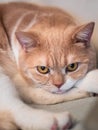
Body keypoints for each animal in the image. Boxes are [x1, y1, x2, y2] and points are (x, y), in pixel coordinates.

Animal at [0, 2, 96, 130]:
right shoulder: (20, 81)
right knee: (16, 108)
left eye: (72, 66)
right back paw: (57, 121)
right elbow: (40, 96)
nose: (58, 85)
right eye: (43, 69)